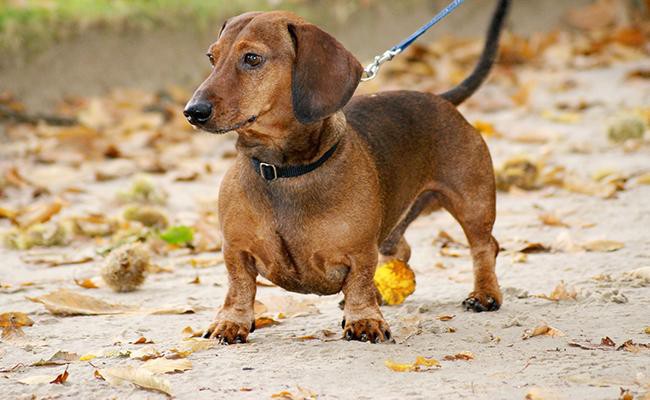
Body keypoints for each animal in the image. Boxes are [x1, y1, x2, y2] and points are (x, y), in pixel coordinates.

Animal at [185, 0, 508, 344]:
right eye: (212, 57)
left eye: (252, 58)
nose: (192, 112)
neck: (283, 170)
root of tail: (441, 98)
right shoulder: (235, 250)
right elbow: (239, 287)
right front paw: (231, 322)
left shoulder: (360, 251)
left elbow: (360, 281)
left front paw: (364, 319)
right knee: (401, 249)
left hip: (472, 202)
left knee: (484, 246)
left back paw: (485, 294)